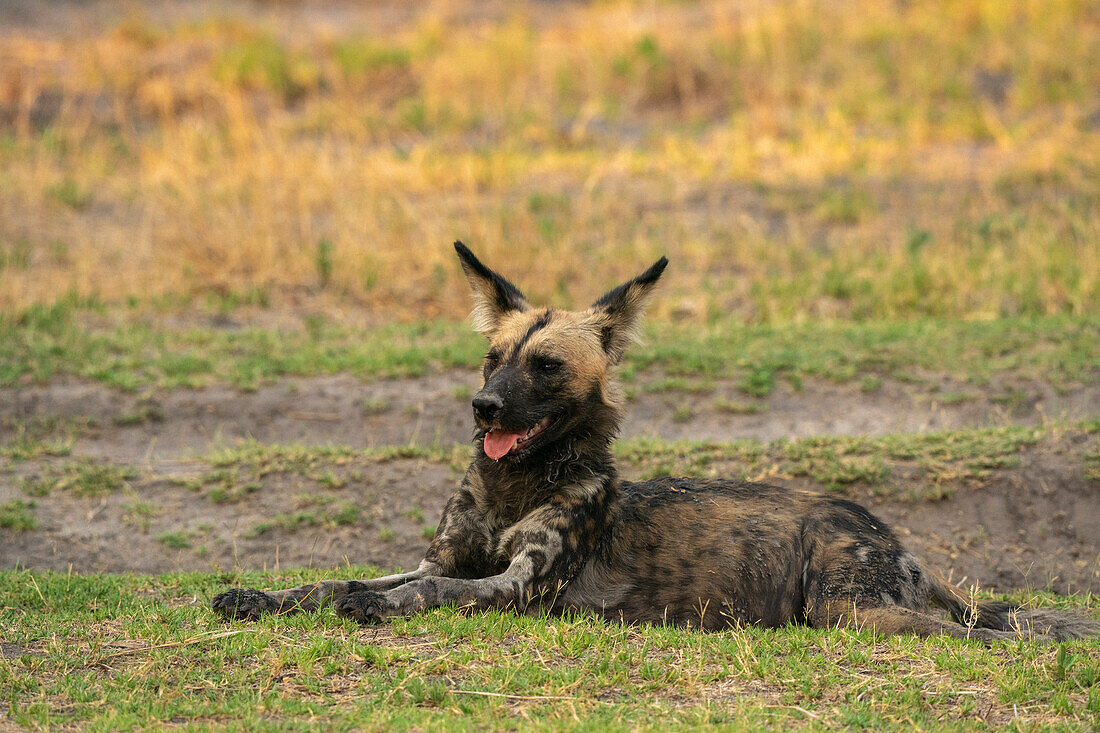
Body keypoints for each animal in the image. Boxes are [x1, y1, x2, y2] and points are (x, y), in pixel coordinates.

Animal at [210, 241, 1095, 638]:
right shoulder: (444, 559)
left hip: (850, 610)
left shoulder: (517, 590)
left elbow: (416, 594)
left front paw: (373, 604)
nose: (483, 407)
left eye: (546, 366)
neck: (513, 487)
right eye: (493, 357)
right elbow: (335, 579)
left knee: (975, 629)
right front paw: (260, 597)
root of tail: (887, 530)